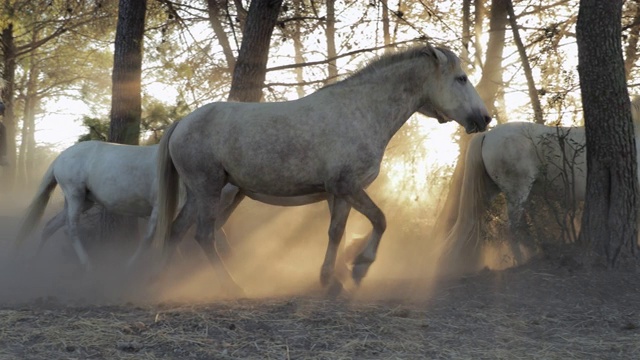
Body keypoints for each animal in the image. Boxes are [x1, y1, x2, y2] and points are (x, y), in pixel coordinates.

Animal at [156, 44, 490, 296]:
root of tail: (182, 123)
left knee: (178, 231)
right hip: (210, 190)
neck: (362, 111)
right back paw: (230, 286)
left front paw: (331, 279)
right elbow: (380, 220)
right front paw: (360, 266)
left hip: (203, 194)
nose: (485, 118)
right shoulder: (348, 186)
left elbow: (336, 231)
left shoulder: (338, 193)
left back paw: (159, 284)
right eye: (461, 79)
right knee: (203, 236)